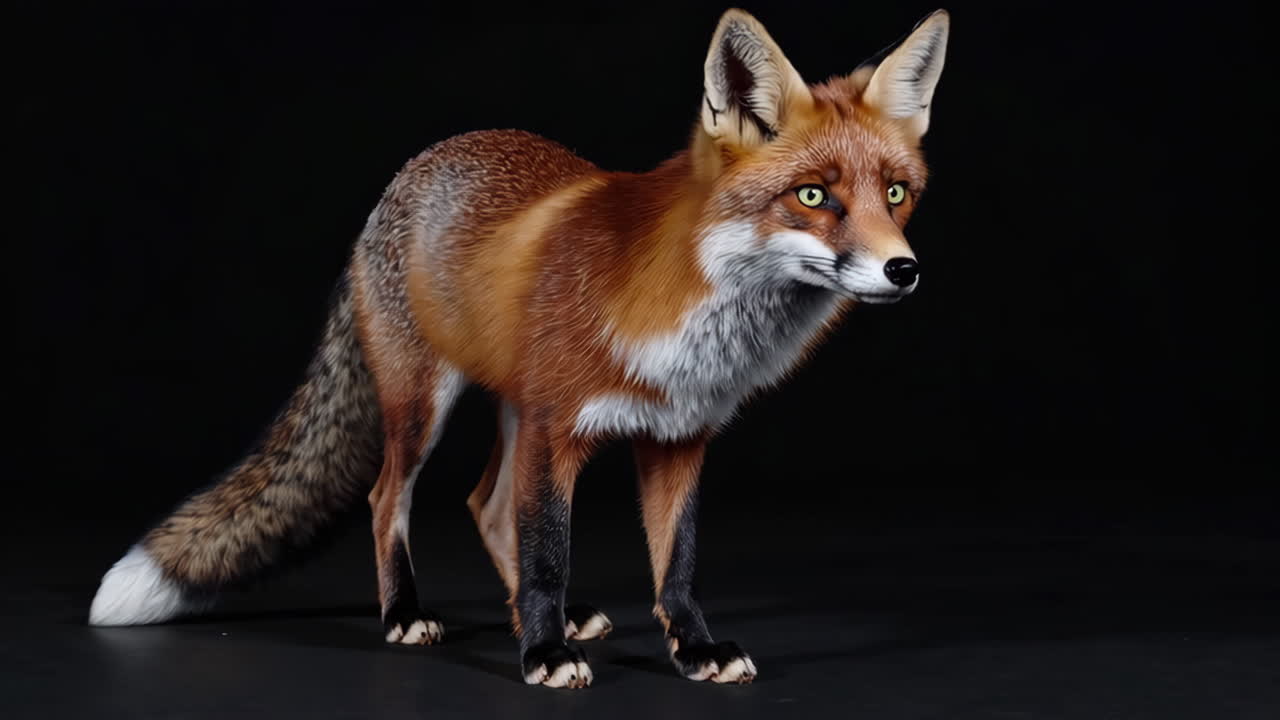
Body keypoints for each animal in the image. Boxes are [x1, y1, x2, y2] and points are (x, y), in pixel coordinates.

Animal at [89, 8, 950, 688]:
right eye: (813, 196)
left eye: (895, 194)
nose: (904, 270)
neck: (690, 315)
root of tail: (403, 180)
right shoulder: (555, 427)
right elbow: (546, 553)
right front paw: (542, 655)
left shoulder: (681, 437)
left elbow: (677, 563)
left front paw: (692, 650)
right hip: (425, 406)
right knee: (388, 499)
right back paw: (408, 613)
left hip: (505, 406)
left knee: (485, 504)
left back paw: (555, 618)